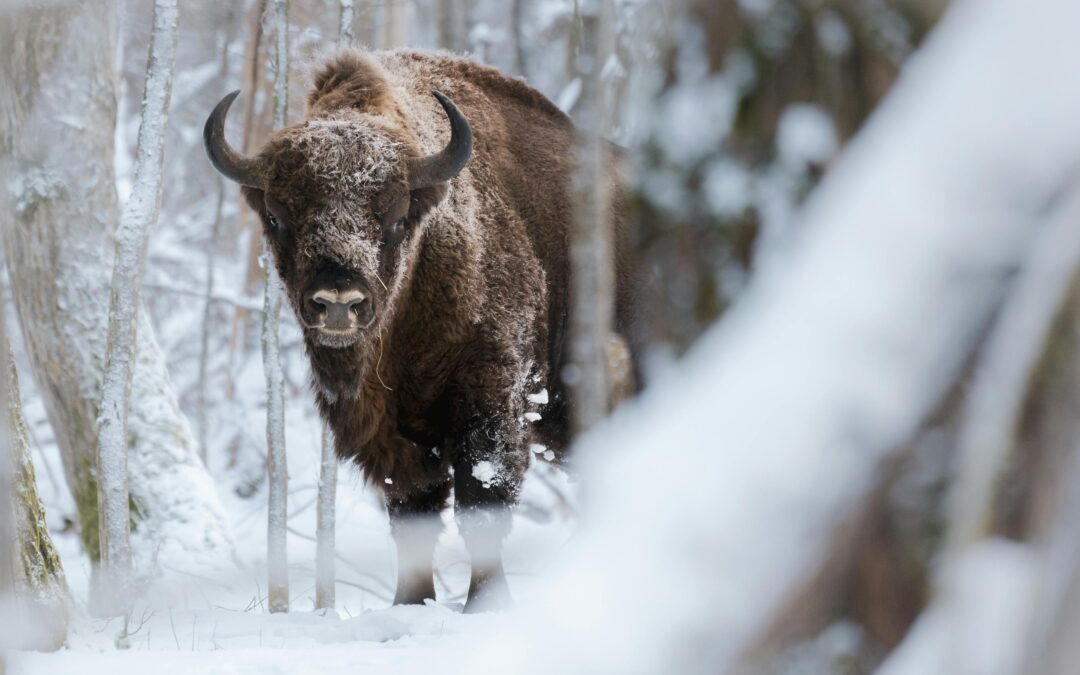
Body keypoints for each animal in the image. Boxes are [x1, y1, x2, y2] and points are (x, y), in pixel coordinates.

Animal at [203, 48, 639, 609]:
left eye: (395, 219)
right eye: (278, 218)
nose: (338, 303)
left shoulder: (492, 409)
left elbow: (482, 508)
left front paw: (486, 606)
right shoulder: (396, 440)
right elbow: (412, 515)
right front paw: (409, 605)